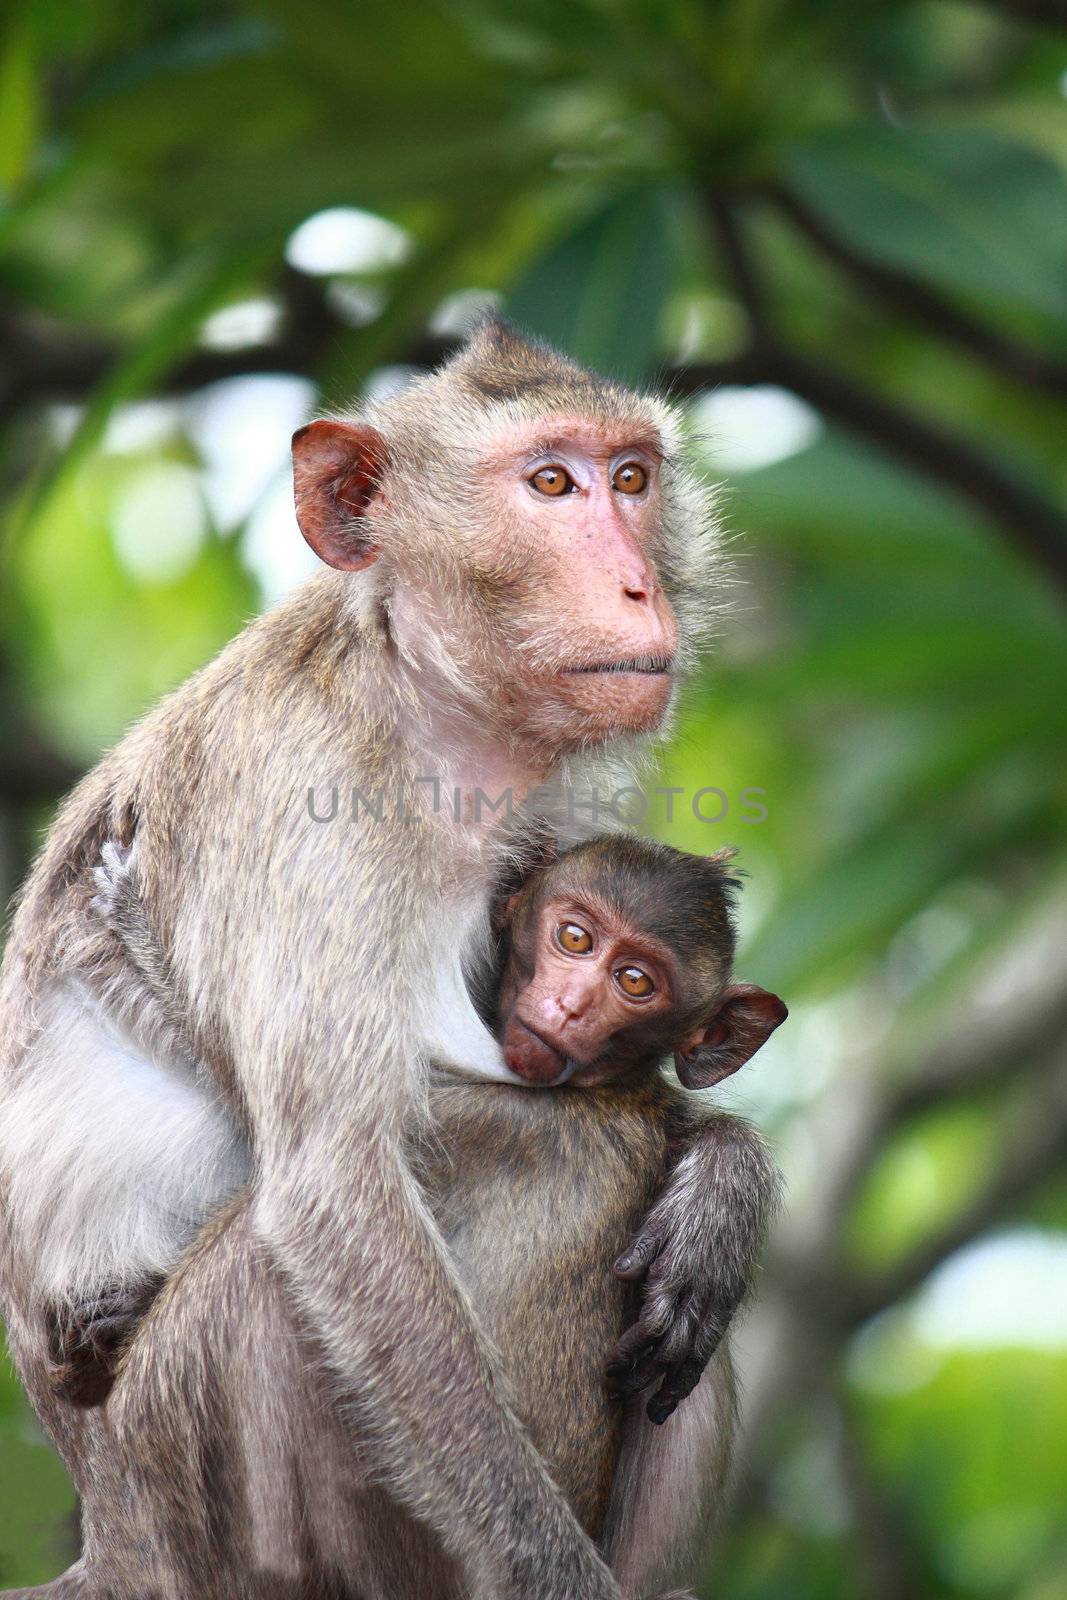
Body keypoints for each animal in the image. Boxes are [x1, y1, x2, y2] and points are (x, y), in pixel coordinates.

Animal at [0, 318, 726, 1593]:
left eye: (632, 478)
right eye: (551, 484)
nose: (636, 583)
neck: (409, 702)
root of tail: (109, 1536)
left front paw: (726, 1191)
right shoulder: (305, 804)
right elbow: (337, 1185)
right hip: (198, 1482)